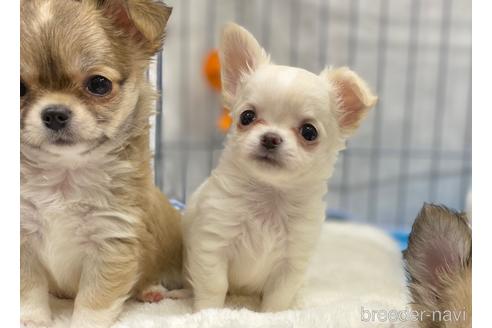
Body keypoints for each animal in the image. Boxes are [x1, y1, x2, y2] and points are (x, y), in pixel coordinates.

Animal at [181, 23, 376, 312]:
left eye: (309, 132)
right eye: (246, 117)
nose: (270, 138)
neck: (269, 197)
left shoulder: (292, 263)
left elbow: (278, 297)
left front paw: (270, 316)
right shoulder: (212, 244)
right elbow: (214, 286)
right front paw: (207, 313)